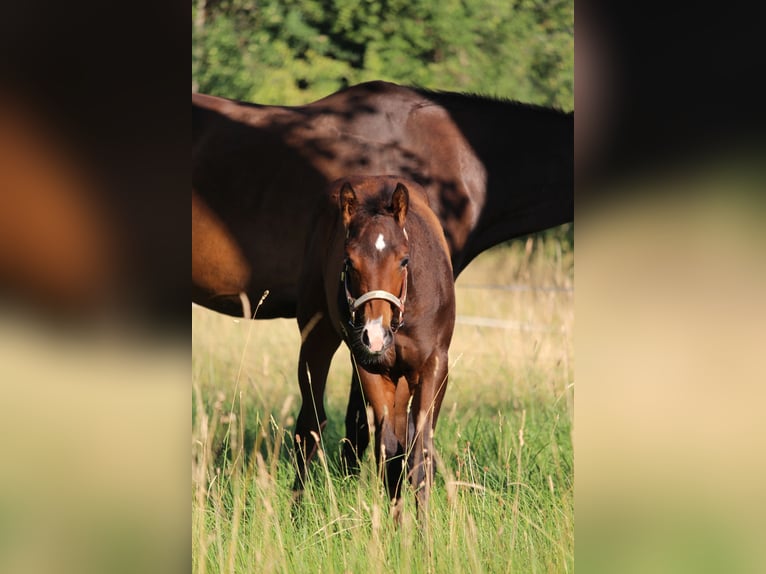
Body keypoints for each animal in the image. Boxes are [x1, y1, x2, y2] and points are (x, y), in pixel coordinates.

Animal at [294, 175, 455, 522]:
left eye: (404, 260)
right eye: (349, 261)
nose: (374, 336)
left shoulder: (434, 366)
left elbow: (418, 453)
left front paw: (422, 532)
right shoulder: (371, 369)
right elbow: (388, 451)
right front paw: (399, 528)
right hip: (316, 341)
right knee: (310, 424)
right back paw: (294, 516)